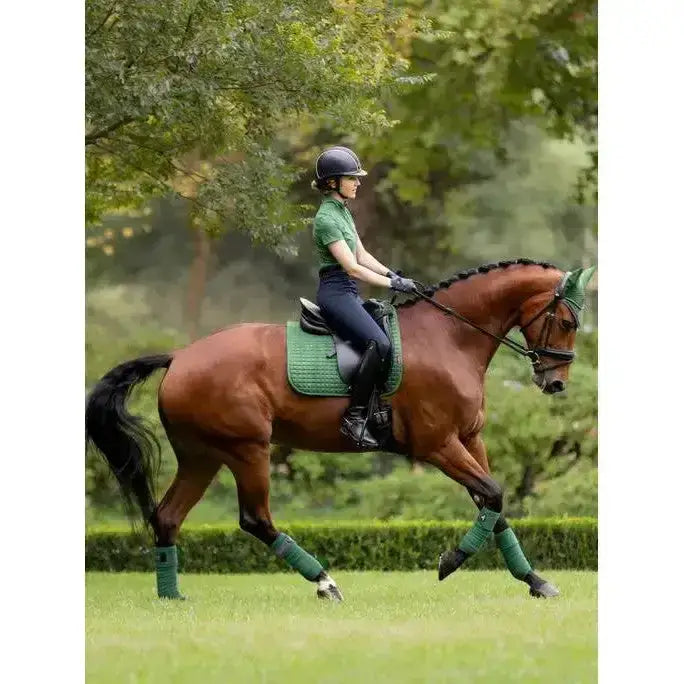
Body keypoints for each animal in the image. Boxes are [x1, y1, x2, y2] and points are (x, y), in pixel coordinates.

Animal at [86, 258, 596, 601]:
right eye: (567, 320)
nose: (555, 383)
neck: (449, 338)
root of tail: (180, 357)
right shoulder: (437, 445)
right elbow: (492, 494)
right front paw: (450, 563)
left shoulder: (470, 439)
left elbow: (495, 505)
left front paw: (535, 581)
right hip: (248, 449)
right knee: (255, 519)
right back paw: (325, 582)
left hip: (202, 456)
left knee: (168, 517)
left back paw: (171, 596)